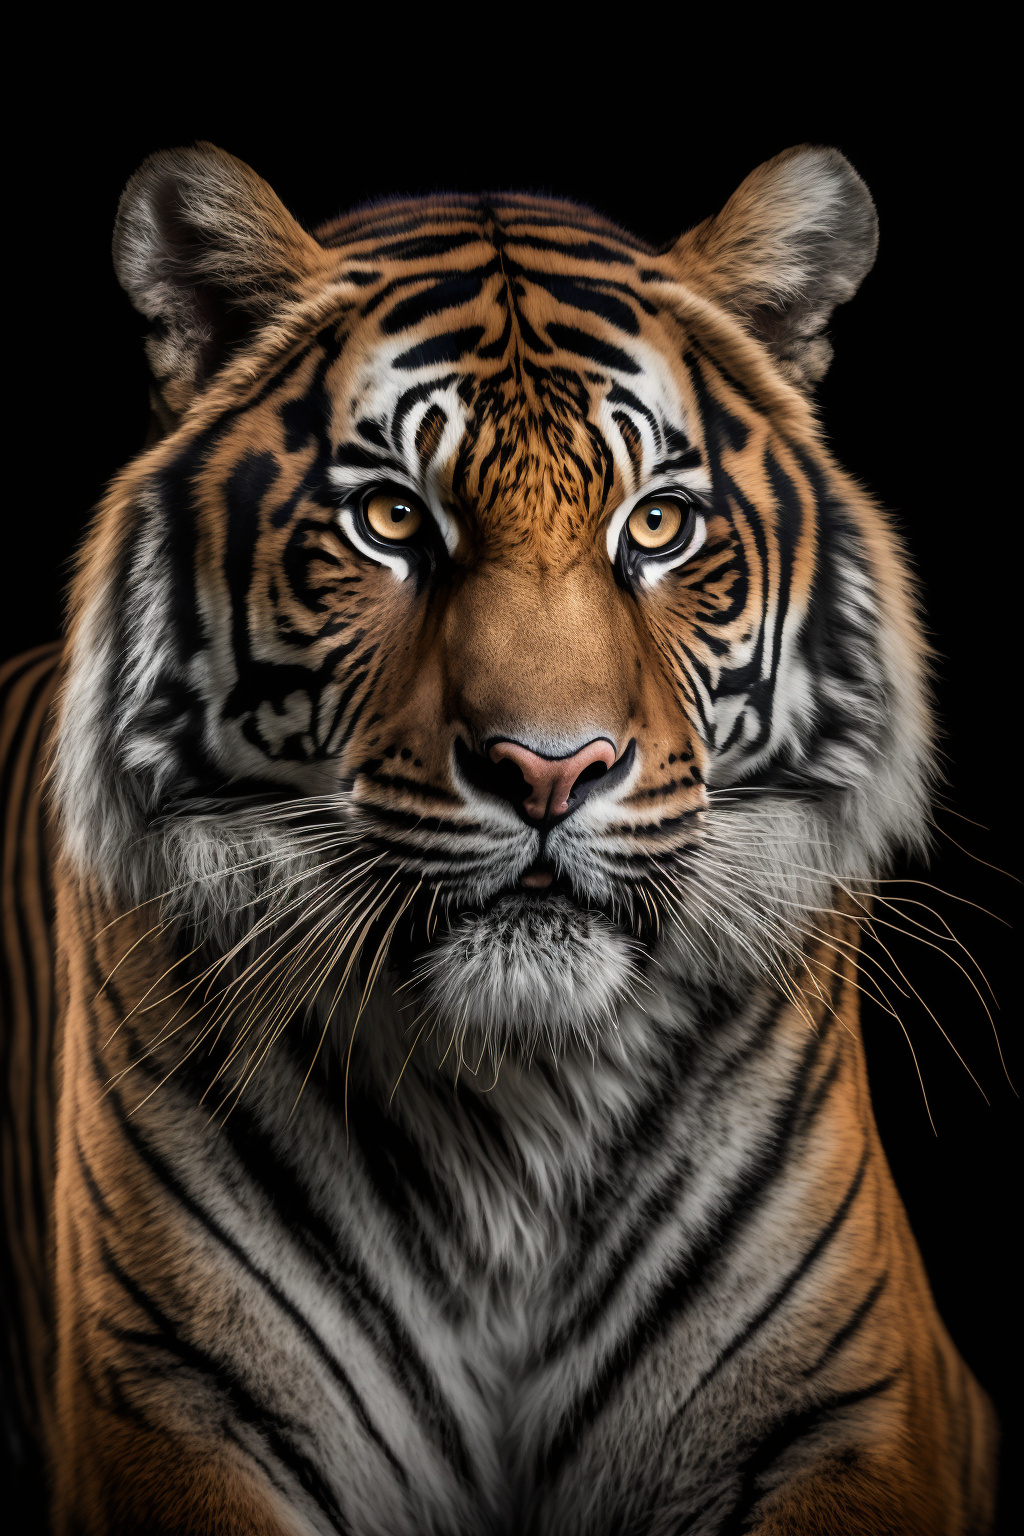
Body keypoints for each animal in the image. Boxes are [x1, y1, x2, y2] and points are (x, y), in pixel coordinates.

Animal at [0, 140, 998, 1534]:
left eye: (656, 524)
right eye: (390, 520)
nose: (550, 767)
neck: (514, 1108)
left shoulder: (847, 1414)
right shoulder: (177, 1409)